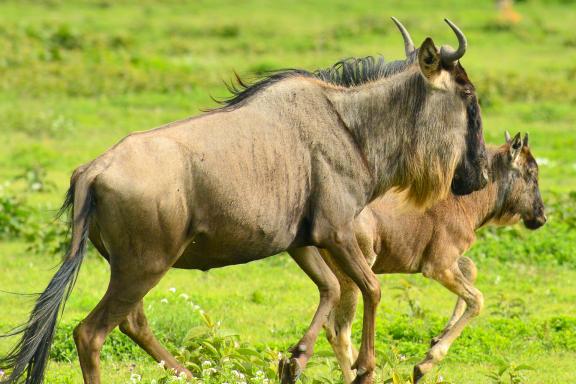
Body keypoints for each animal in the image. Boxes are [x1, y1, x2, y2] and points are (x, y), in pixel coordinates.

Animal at [322, 131, 548, 380]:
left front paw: (438, 336)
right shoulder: (438, 266)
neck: (461, 199)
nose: (541, 217)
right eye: (531, 174)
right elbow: (477, 299)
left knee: (330, 327)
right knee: (341, 330)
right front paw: (425, 363)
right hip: (354, 272)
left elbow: (471, 268)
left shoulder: (446, 260)